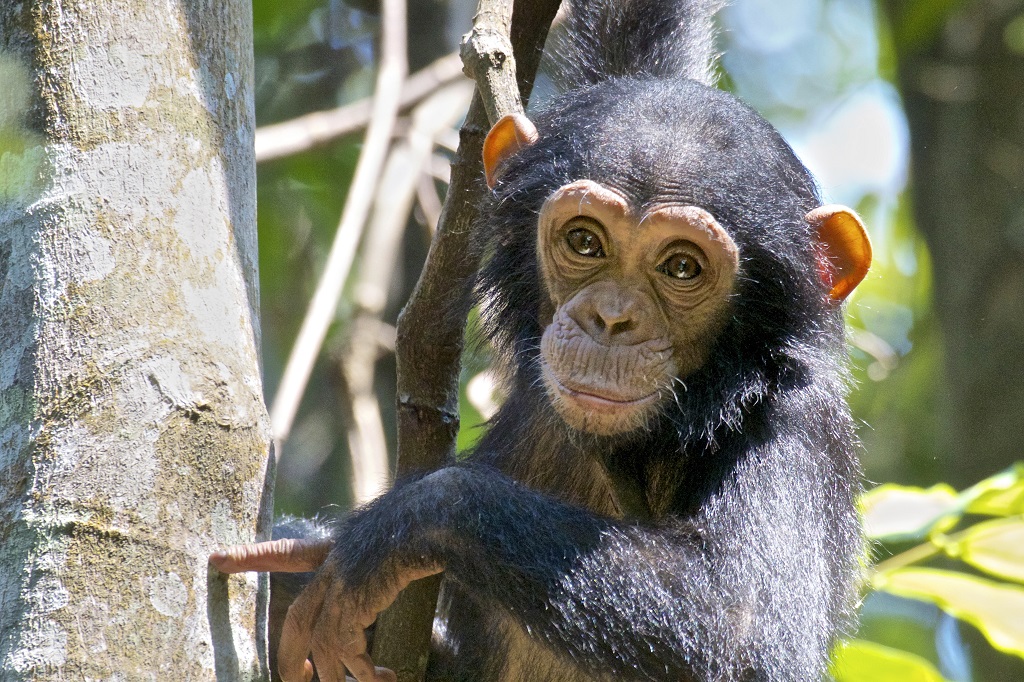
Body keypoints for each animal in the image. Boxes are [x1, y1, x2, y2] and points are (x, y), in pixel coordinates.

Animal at [211, 0, 868, 675]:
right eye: (584, 241)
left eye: (683, 267)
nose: (611, 319)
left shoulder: (794, 428)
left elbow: (744, 627)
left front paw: (395, 527)